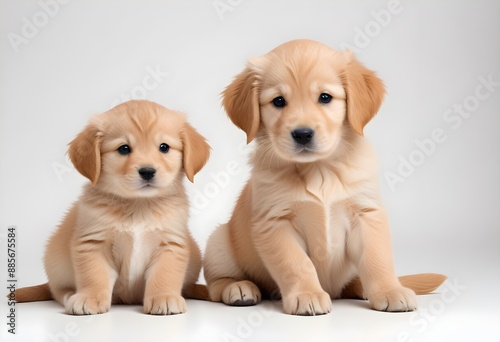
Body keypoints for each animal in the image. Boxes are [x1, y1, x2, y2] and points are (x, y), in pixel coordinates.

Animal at [16, 99, 209, 316]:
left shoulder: (170, 243)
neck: (138, 205)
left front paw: (164, 297)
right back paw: (70, 295)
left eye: (164, 147)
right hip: (55, 264)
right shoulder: (93, 243)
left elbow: (164, 274)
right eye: (124, 149)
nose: (147, 171)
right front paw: (89, 298)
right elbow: (94, 275)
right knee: (56, 290)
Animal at [203, 39, 446, 316]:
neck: (319, 169)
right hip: (218, 242)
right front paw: (307, 294)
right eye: (278, 101)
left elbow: (377, 257)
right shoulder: (274, 221)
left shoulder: (366, 212)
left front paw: (389, 290)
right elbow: (297, 263)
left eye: (325, 97)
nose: (302, 134)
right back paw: (239, 288)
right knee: (216, 283)